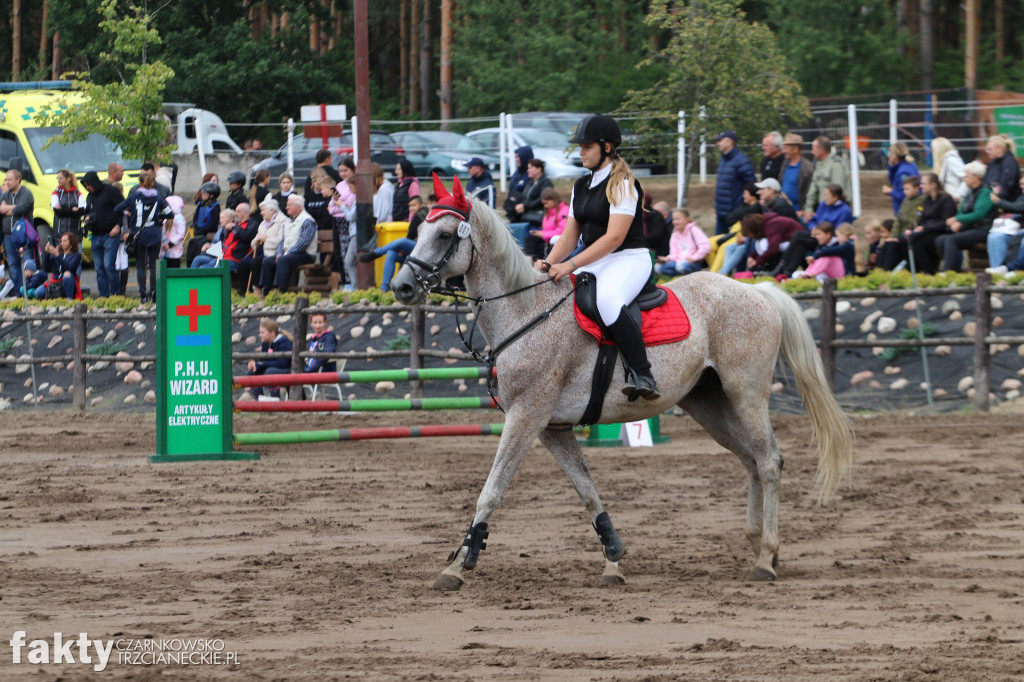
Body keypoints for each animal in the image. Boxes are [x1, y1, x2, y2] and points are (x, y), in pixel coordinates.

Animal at [387, 176, 851, 589]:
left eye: (445, 234)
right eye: (420, 230)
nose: (401, 287)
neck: (526, 312)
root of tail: (758, 292)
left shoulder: (526, 417)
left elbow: (491, 490)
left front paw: (457, 565)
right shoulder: (552, 428)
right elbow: (587, 491)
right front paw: (613, 558)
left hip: (746, 395)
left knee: (769, 461)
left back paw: (766, 558)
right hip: (710, 405)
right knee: (752, 460)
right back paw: (759, 545)